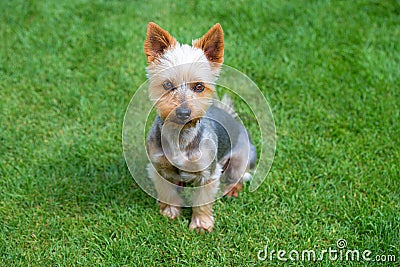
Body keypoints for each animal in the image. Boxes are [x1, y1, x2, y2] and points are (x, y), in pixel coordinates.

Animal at [144, 22, 256, 232]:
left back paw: (231, 190)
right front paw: (170, 211)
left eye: (199, 87)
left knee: (240, 175)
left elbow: (202, 200)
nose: (183, 112)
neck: (180, 136)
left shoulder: (209, 174)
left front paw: (201, 224)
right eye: (167, 84)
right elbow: (166, 190)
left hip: (242, 157)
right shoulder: (158, 167)